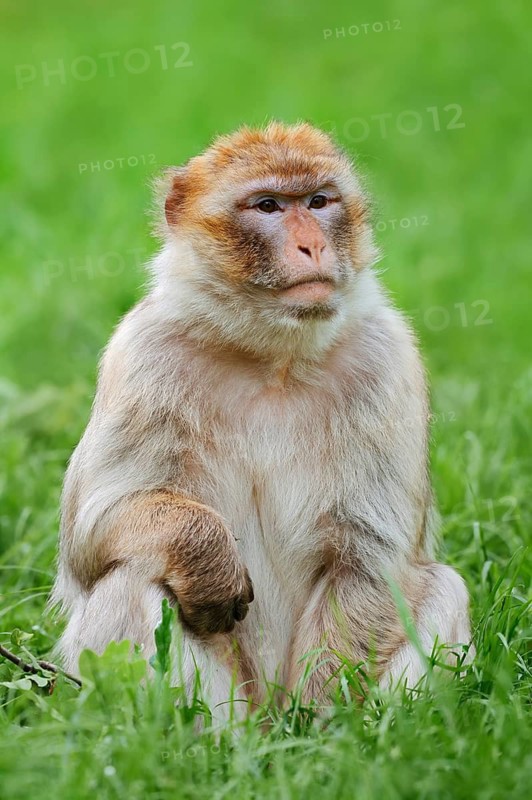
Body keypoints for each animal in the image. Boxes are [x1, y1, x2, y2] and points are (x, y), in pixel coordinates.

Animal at [50, 122, 472, 716]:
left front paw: (321, 719)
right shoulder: (143, 353)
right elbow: (93, 531)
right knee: (132, 580)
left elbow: (370, 554)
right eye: (269, 205)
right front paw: (206, 558)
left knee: (442, 586)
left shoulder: (388, 359)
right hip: (233, 701)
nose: (312, 244)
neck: (273, 357)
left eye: (318, 202)